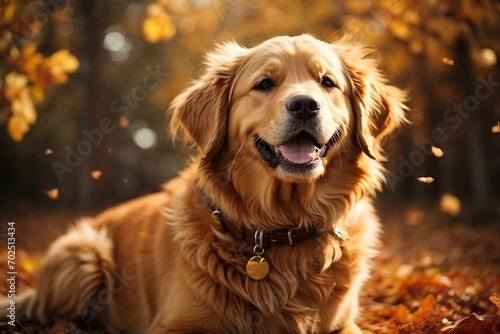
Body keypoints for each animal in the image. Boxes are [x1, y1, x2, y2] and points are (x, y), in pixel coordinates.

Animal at [2, 35, 406, 332]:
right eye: (264, 84)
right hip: (84, 254)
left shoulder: (343, 325)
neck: (280, 227)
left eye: (327, 83)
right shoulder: (171, 325)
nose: (305, 105)